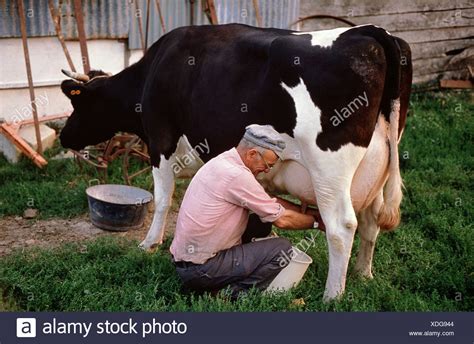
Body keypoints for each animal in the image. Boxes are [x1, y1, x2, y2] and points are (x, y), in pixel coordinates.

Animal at [61, 23, 412, 300]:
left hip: (329, 170)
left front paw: (150, 243)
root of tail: (370, 32)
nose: (64, 137)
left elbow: (162, 198)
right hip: (379, 169)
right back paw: (363, 275)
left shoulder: (160, 141)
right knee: (370, 220)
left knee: (342, 226)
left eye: (79, 105)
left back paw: (332, 296)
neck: (154, 69)